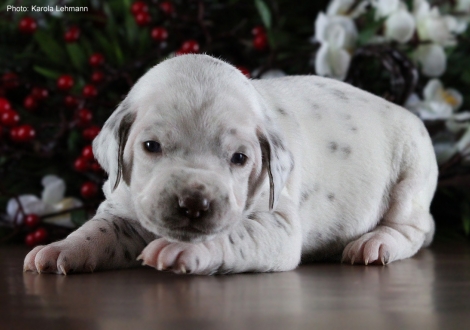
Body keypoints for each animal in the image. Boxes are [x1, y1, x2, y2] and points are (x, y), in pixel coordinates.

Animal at [23, 54, 438, 276]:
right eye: (150, 146)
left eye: (240, 158)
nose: (193, 204)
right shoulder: (121, 207)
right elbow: (96, 231)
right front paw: (60, 248)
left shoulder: (278, 224)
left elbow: (234, 233)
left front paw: (182, 250)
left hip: (412, 170)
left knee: (414, 229)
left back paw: (374, 243)